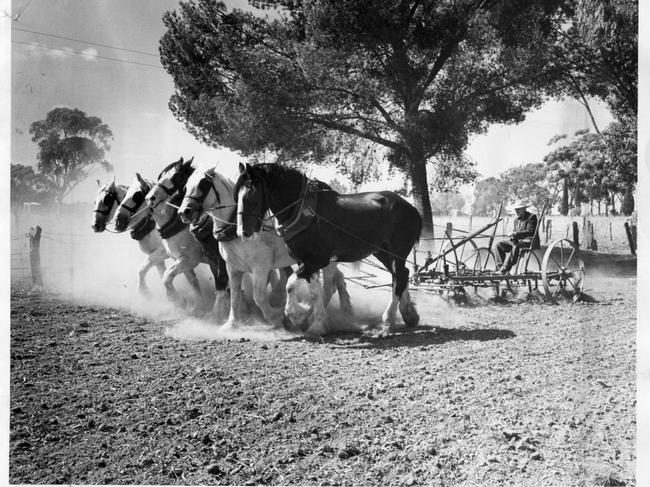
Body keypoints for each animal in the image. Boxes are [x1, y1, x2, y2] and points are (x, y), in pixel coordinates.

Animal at [112, 174, 206, 312]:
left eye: (137, 195)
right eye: (125, 195)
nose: (118, 221)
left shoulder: (186, 257)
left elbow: (165, 275)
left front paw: (177, 299)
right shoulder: (172, 256)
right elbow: (145, 269)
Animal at [146, 158, 229, 322]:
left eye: (176, 177)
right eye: (160, 176)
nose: (149, 198)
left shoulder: (191, 259)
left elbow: (167, 276)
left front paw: (177, 300)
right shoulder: (181, 259)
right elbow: (192, 282)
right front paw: (197, 307)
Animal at [177, 166, 352, 334]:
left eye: (202, 184)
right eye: (186, 186)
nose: (184, 212)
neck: (235, 229)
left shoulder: (261, 267)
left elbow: (258, 296)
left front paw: (277, 317)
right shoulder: (231, 267)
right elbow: (234, 294)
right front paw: (232, 323)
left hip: (325, 260)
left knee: (327, 287)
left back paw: (317, 321)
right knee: (332, 282)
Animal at [234, 162, 420, 338]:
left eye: (251, 194)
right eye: (237, 196)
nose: (242, 232)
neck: (303, 211)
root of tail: (412, 208)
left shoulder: (316, 261)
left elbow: (291, 285)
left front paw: (297, 314)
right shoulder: (306, 262)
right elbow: (315, 292)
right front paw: (318, 324)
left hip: (397, 252)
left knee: (399, 277)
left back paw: (388, 319)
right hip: (383, 252)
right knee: (402, 274)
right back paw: (409, 314)